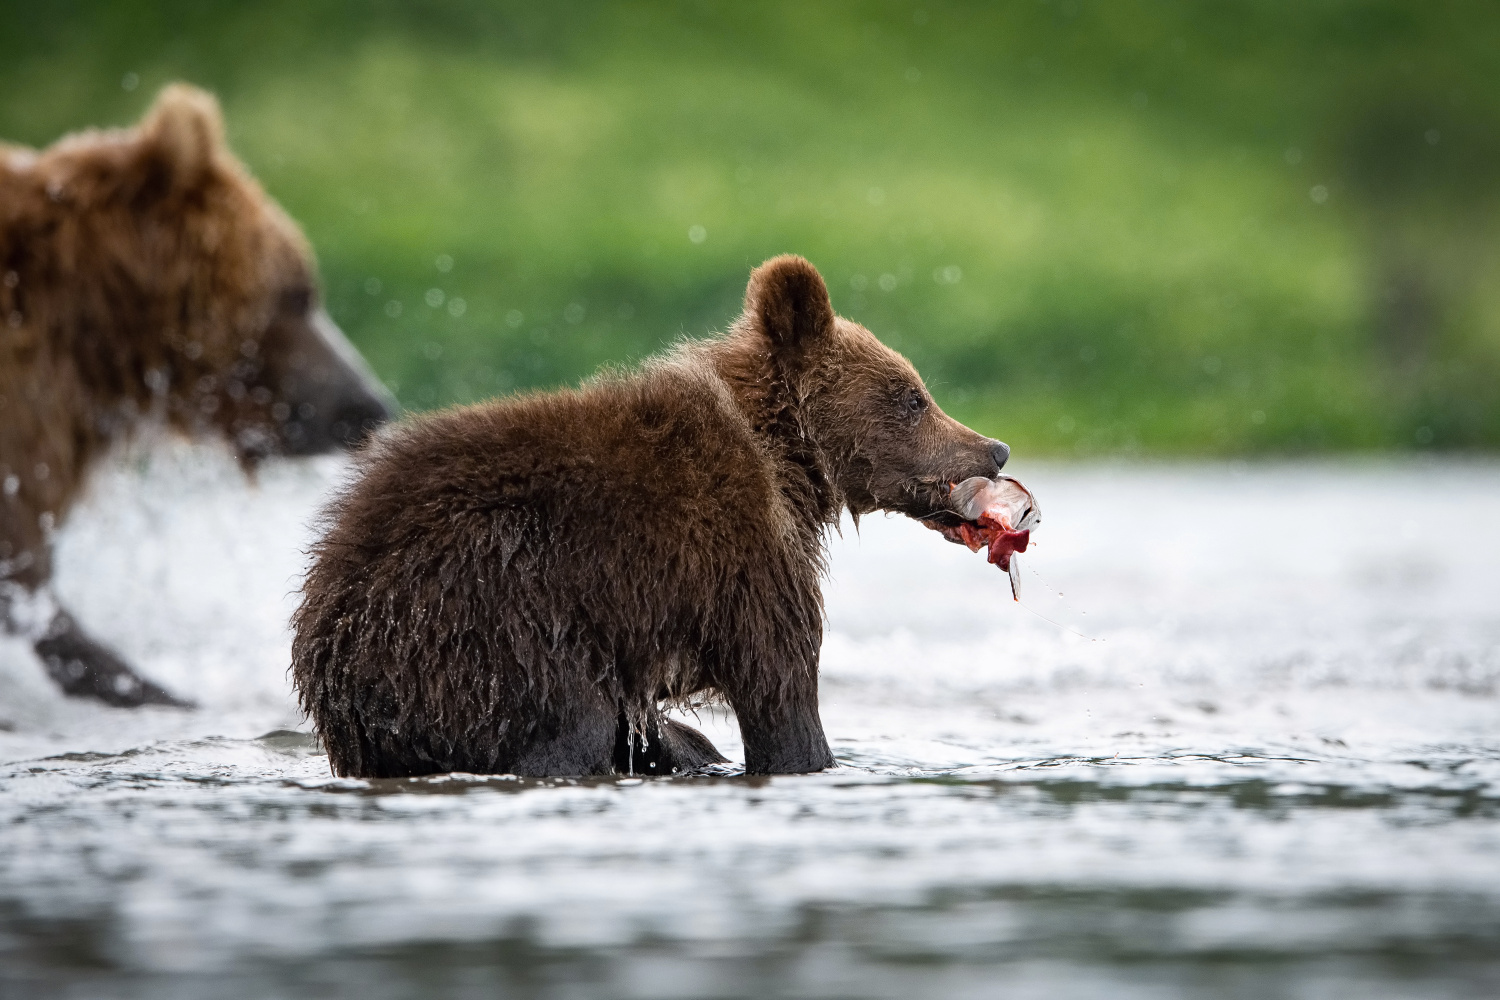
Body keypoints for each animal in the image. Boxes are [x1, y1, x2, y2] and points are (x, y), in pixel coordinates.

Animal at [292, 254, 1008, 779]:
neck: (783, 458)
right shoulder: (747, 559)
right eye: (912, 396)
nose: (994, 449)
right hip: (485, 621)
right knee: (570, 725)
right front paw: (813, 758)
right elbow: (782, 694)